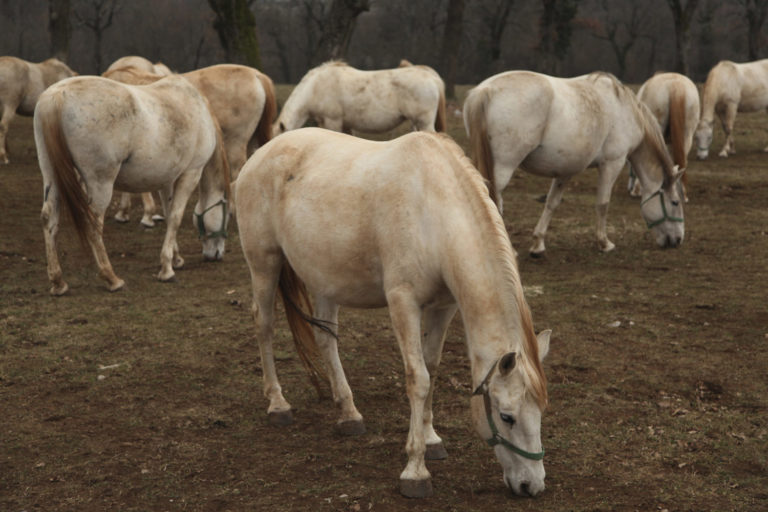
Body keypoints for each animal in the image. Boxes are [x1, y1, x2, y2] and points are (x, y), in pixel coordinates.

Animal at [35, 74, 230, 296]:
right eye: (228, 214)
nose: (216, 254)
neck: (196, 107)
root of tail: (58, 95)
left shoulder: (167, 179)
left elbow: (168, 213)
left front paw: (175, 259)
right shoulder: (191, 173)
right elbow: (176, 217)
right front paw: (167, 269)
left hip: (51, 175)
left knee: (48, 218)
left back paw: (58, 282)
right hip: (100, 183)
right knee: (93, 224)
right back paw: (111, 278)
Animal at [235, 128, 551, 498]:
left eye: (540, 411)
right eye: (507, 416)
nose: (532, 485)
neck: (433, 212)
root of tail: (261, 154)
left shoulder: (444, 307)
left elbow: (432, 368)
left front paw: (431, 440)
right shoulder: (403, 302)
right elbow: (418, 378)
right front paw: (415, 470)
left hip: (326, 279)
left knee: (325, 338)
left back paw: (349, 413)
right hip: (264, 264)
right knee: (265, 326)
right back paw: (278, 404)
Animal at [463, 70, 685, 255]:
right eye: (675, 202)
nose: (677, 240)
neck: (625, 110)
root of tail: (485, 91)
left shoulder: (566, 170)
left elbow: (551, 203)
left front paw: (538, 244)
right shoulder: (612, 163)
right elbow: (603, 204)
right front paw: (604, 243)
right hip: (503, 168)